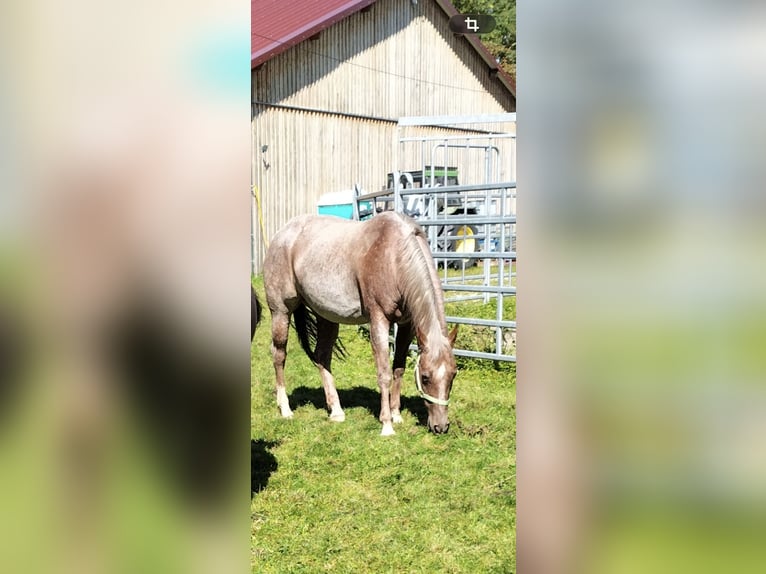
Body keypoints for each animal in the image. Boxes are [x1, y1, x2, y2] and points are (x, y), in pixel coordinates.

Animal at [263, 211, 458, 436]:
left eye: (453, 375)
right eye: (425, 377)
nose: (441, 426)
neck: (393, 256)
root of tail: (282, 234)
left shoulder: (407, 325)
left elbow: (398, 368)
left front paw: (396, 415)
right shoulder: (379, 320)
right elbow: (384, 373)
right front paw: (387, 424)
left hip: (326, 316)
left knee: (322, 357)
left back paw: (336, 411)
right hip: (281, 312)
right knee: (279, 354)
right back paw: (285, 409)